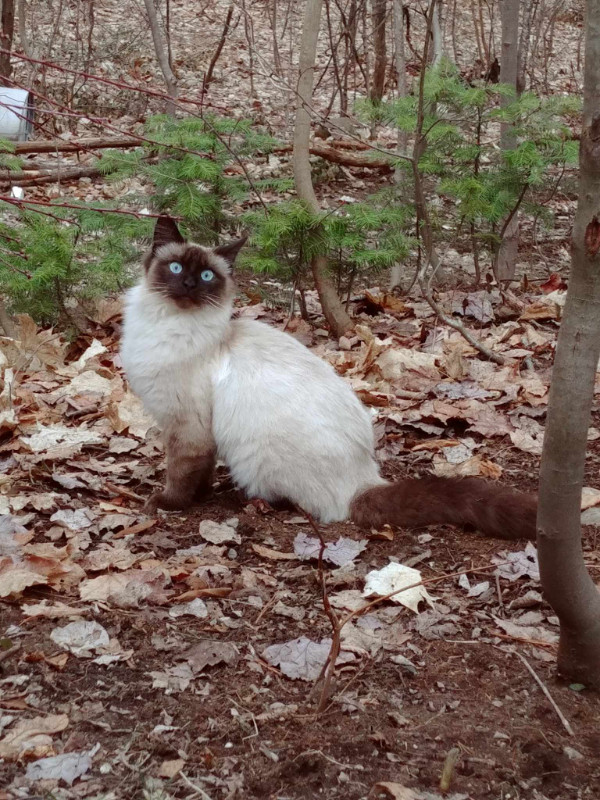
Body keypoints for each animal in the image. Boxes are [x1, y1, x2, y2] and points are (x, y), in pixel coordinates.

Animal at [119, 216, 536, 540]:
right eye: (176, 268)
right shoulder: (189, 427)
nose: (189, 285)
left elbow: (182, 473)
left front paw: (166, 503)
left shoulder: (187, 426)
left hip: (255, 453)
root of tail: (362, 481)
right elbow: (200, 474)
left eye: (206, 275)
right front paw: (200, 496)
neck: (169, 326)